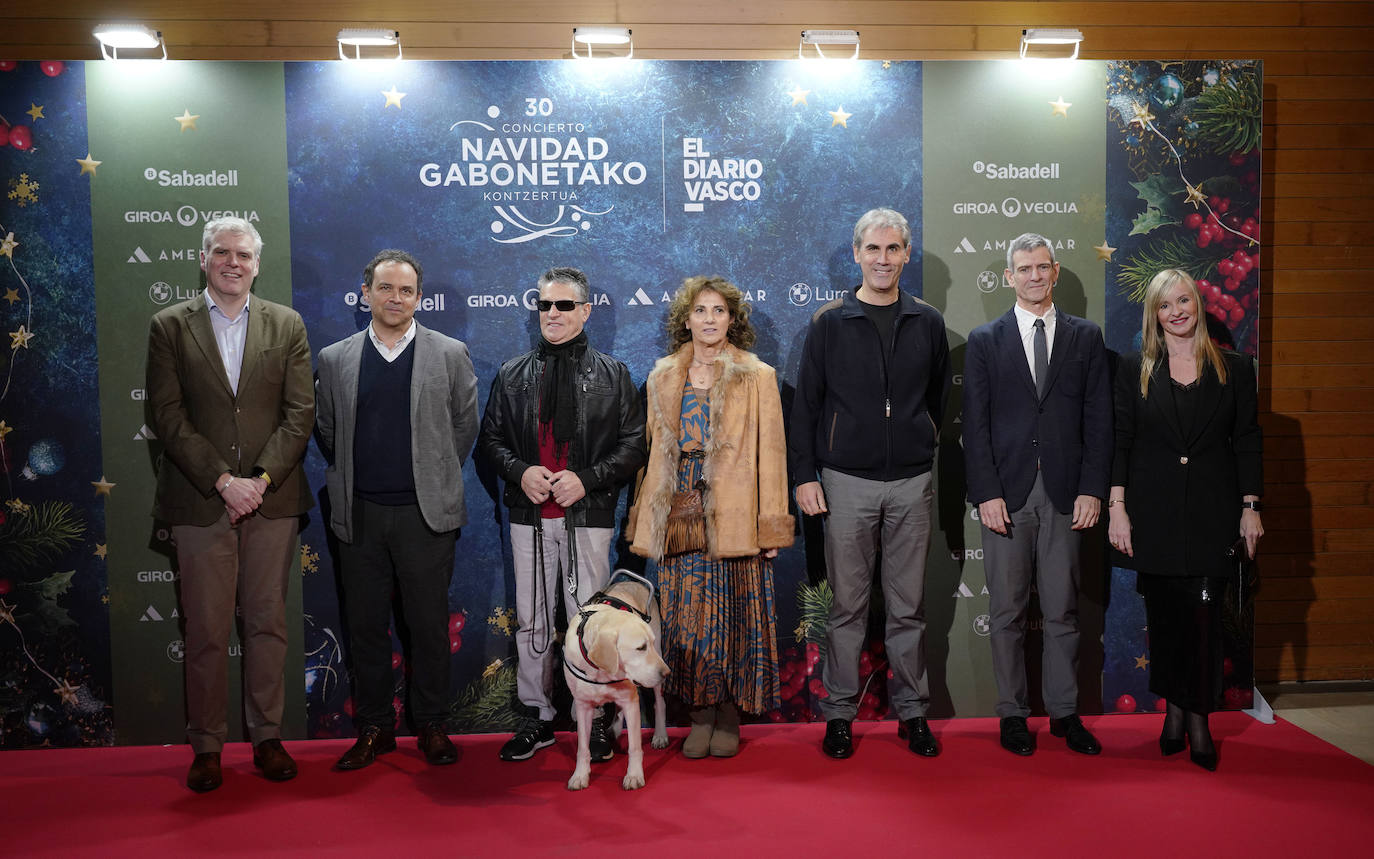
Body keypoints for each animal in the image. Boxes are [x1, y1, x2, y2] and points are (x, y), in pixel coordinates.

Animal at [563, 569, 670, 791]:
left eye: (650, 644)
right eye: (640, 647)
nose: (667, 673)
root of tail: (632, 582)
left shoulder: (631, 701)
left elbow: (635, 747)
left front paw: (634, 775)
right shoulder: (583, 705)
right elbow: (582, 747)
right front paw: (580, 775)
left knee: (659, 703)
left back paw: (660, 734)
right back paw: (616, 728)